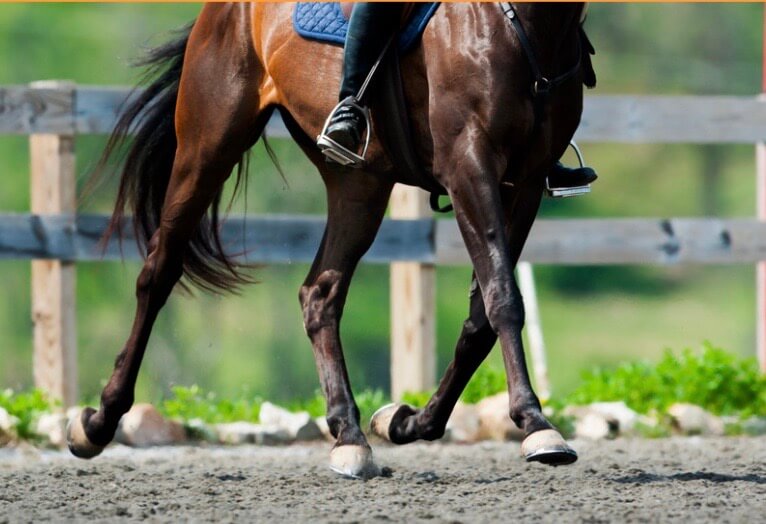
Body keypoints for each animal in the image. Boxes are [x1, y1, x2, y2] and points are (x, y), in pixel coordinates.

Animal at [66, 2, 595, 478]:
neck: (530, 23)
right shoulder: (470, 165)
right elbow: (503, 297)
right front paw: (536, 424)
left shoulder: (525, 184)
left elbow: (482, 313)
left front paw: (406, 422)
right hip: (206, 147)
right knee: (158, 273)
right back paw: (97, 424)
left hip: (358, 183)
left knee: (320, 294)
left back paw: (350, 436)